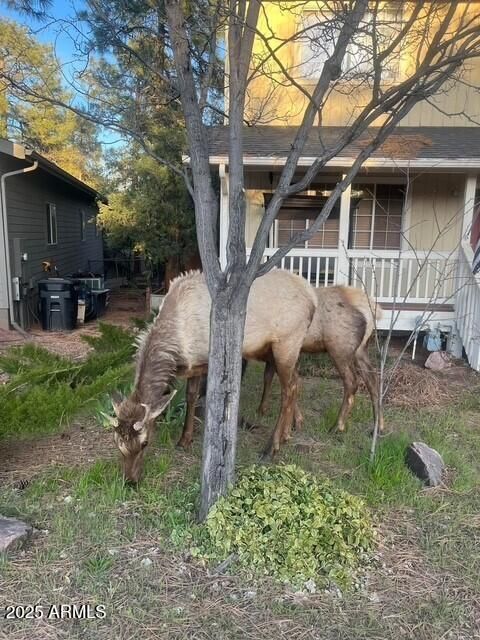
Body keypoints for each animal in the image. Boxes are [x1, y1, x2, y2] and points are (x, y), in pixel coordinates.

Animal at [109, 268, 318, 482]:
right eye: (117, 442)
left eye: (145, 442)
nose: (130, 480)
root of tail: (313, 298)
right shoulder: (194, 365)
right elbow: (191, 396)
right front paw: (184, 440)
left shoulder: (207, 361)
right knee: (296, 382)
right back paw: (288, 432)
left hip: (287, 342)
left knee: (289, 389)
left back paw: (271, 448)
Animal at [256, 286, 384, 440]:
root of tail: (371, 311)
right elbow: (272, 377)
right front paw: (265, 410)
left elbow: (286, 382)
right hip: (360, 349)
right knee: (373, 379)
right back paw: (378, 427)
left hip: (339, 346)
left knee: (352, 381)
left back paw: (337, 427)